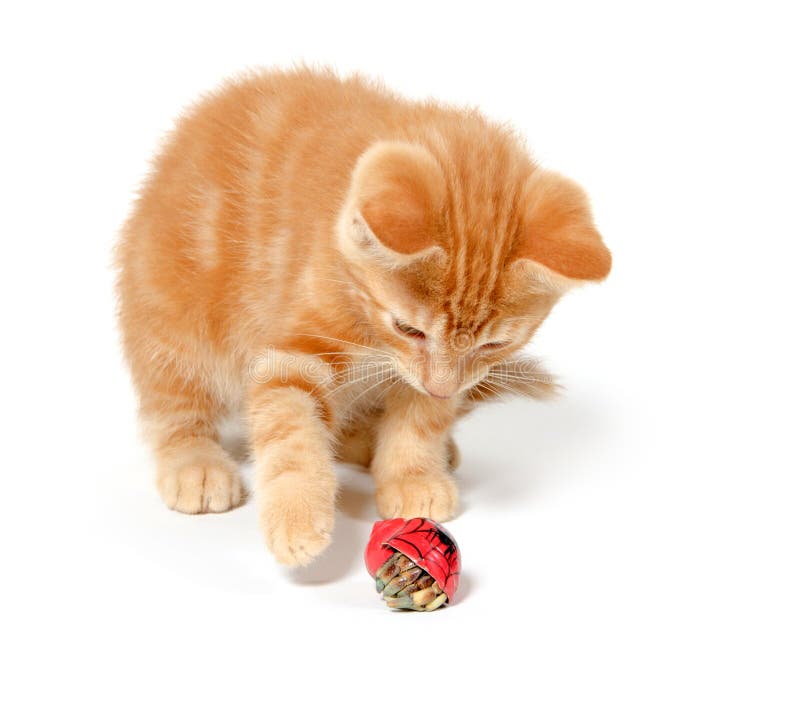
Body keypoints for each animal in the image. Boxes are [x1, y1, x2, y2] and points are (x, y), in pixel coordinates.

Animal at [115, 67, 608, 568]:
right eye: (408, 328)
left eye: (494, 345)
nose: (440, 385)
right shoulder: (292, 349)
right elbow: (290, 426)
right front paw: (297, 515)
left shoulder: (438, 377)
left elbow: (421, 419)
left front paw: (412, 475)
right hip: (174, 317)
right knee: (173, 401)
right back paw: (195, 463)